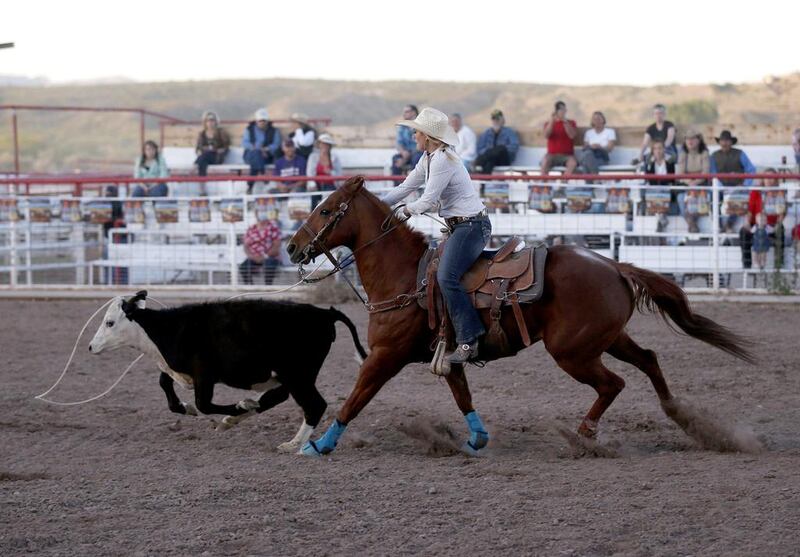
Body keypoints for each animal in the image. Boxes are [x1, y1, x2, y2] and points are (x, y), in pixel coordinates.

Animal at [288, 176, 756, 454]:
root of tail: (614, 266)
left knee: (614, 383)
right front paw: (476, 439)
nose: (293, 247)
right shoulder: (448, 353)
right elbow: (462, 395)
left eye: (326, 209)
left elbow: (355, 398)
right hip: (605, 339)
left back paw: (584, 436)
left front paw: (318, 445)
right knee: (649, 361)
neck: (408, 276)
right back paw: (683, 418)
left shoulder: (385, 355)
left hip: (572, 351)